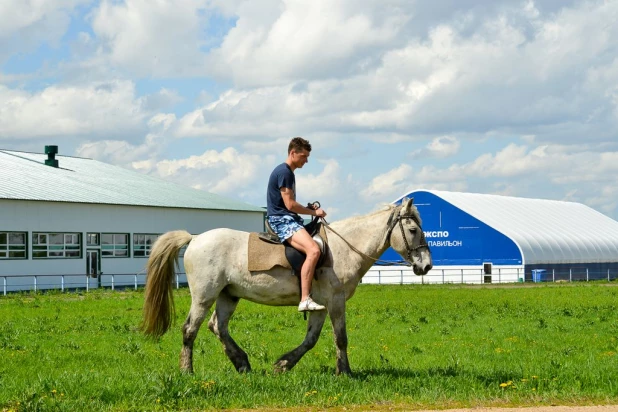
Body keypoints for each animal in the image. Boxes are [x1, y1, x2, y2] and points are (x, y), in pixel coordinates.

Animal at [142, 198, 430, 374]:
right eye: (413, 230)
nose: (426, 266)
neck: (343, 247)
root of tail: (195, 238)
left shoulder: (320, 306)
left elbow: (311, 340)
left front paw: (283, 364)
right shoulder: (336, 301)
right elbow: (341, 338)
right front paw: (345, 372)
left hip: (228, 295)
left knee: (218, 326)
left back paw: (242, 363)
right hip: (204, 295)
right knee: (190, 329)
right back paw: (187, 371)